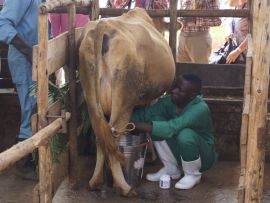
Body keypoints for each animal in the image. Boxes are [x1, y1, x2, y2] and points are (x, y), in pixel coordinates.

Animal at [78, 8, 175, 197]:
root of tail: (104, 25)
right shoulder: (150, 99)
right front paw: (151, 155)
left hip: (91, 96)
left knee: (101, 136)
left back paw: (96, 181)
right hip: (123, 99)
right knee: (114, 136)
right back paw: (124, 186)